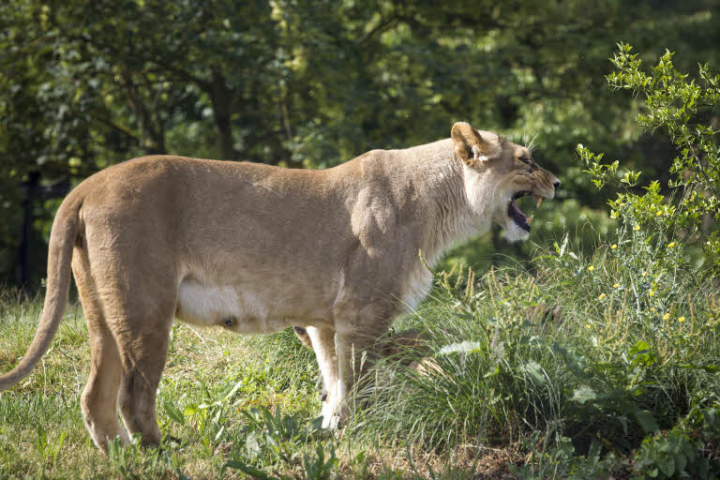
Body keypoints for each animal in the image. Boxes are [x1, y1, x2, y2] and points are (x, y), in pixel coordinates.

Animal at [0, 122, 559, 452]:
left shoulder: (327, 322)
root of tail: (87, 184)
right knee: (134, 392)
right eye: (526, 160)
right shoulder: (363, 311)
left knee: (95, 394)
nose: (558, 183)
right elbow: (359, 381)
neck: (442, 204)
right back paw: (162, 451)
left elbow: (335, 380)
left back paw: (120, 454)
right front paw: (361, 432)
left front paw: (332, 431)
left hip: (103, 310)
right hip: (145, 306)